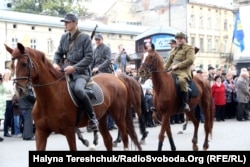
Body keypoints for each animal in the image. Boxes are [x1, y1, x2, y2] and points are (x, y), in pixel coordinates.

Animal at [4, 43, 142, 151]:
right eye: (11, 66)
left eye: (23, 63)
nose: (19, 90)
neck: (48, 99)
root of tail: (118, 79)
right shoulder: (41, 132)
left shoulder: (69, 131)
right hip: (102, 117)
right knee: (108, 140)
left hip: (118, 116)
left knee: (124, 136)